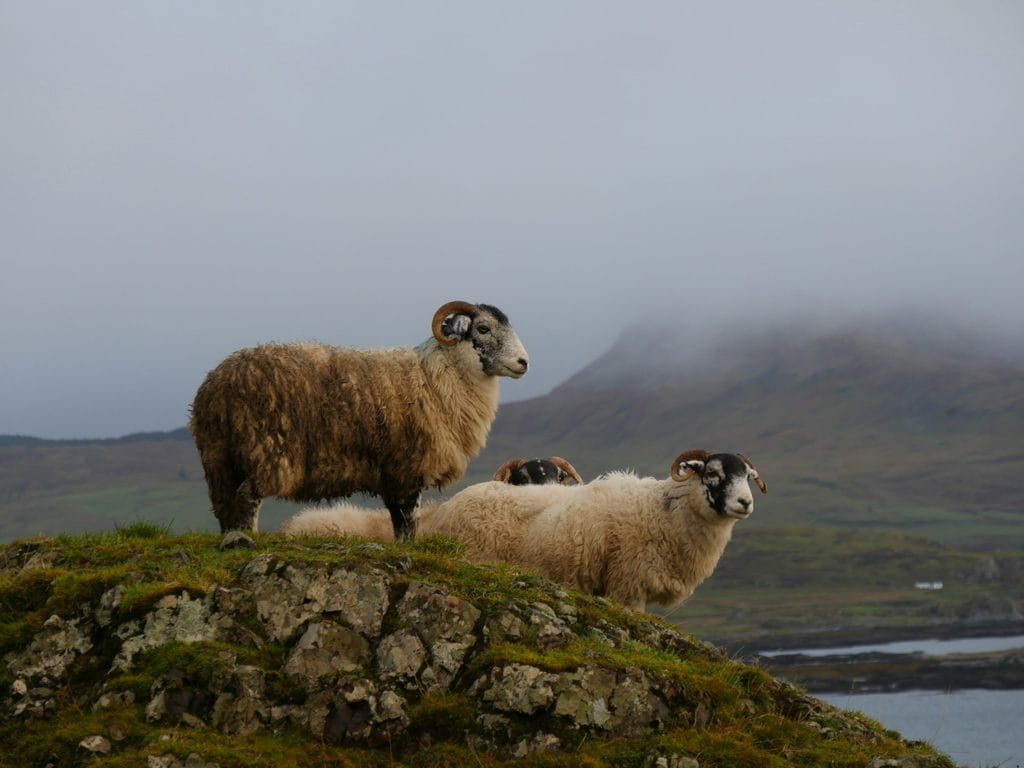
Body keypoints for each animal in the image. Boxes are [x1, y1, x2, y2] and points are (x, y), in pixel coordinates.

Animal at [188, 300, 529, 541]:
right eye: (482, 328)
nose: (524, 362)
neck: (435, 376)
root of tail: (218, 383)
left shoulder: (392, 474)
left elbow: (398, 522)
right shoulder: (408, 467)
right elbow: (410, 521)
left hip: (218, 458)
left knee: (225, 505)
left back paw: (232, 537)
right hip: (264, 448)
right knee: (247, 498)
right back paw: (248, 539)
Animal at [420, 450, 767, 611]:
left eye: (748, 476)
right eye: (713, 474)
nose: (745, 502)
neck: (662, 510)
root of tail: (442, 509)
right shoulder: (627, 587)